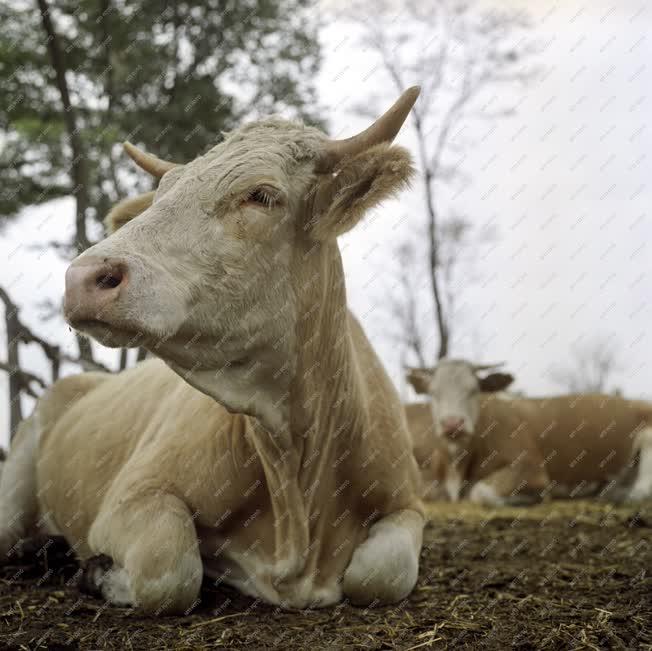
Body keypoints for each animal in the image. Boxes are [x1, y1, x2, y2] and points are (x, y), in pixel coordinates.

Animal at [0, 89, 426, 612]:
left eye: (260, 195)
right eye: (162, 194)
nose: (84, 277)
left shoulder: (409, 504)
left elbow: (382, 573)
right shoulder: (133, 493)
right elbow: (171, 566)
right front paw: (97, 572)